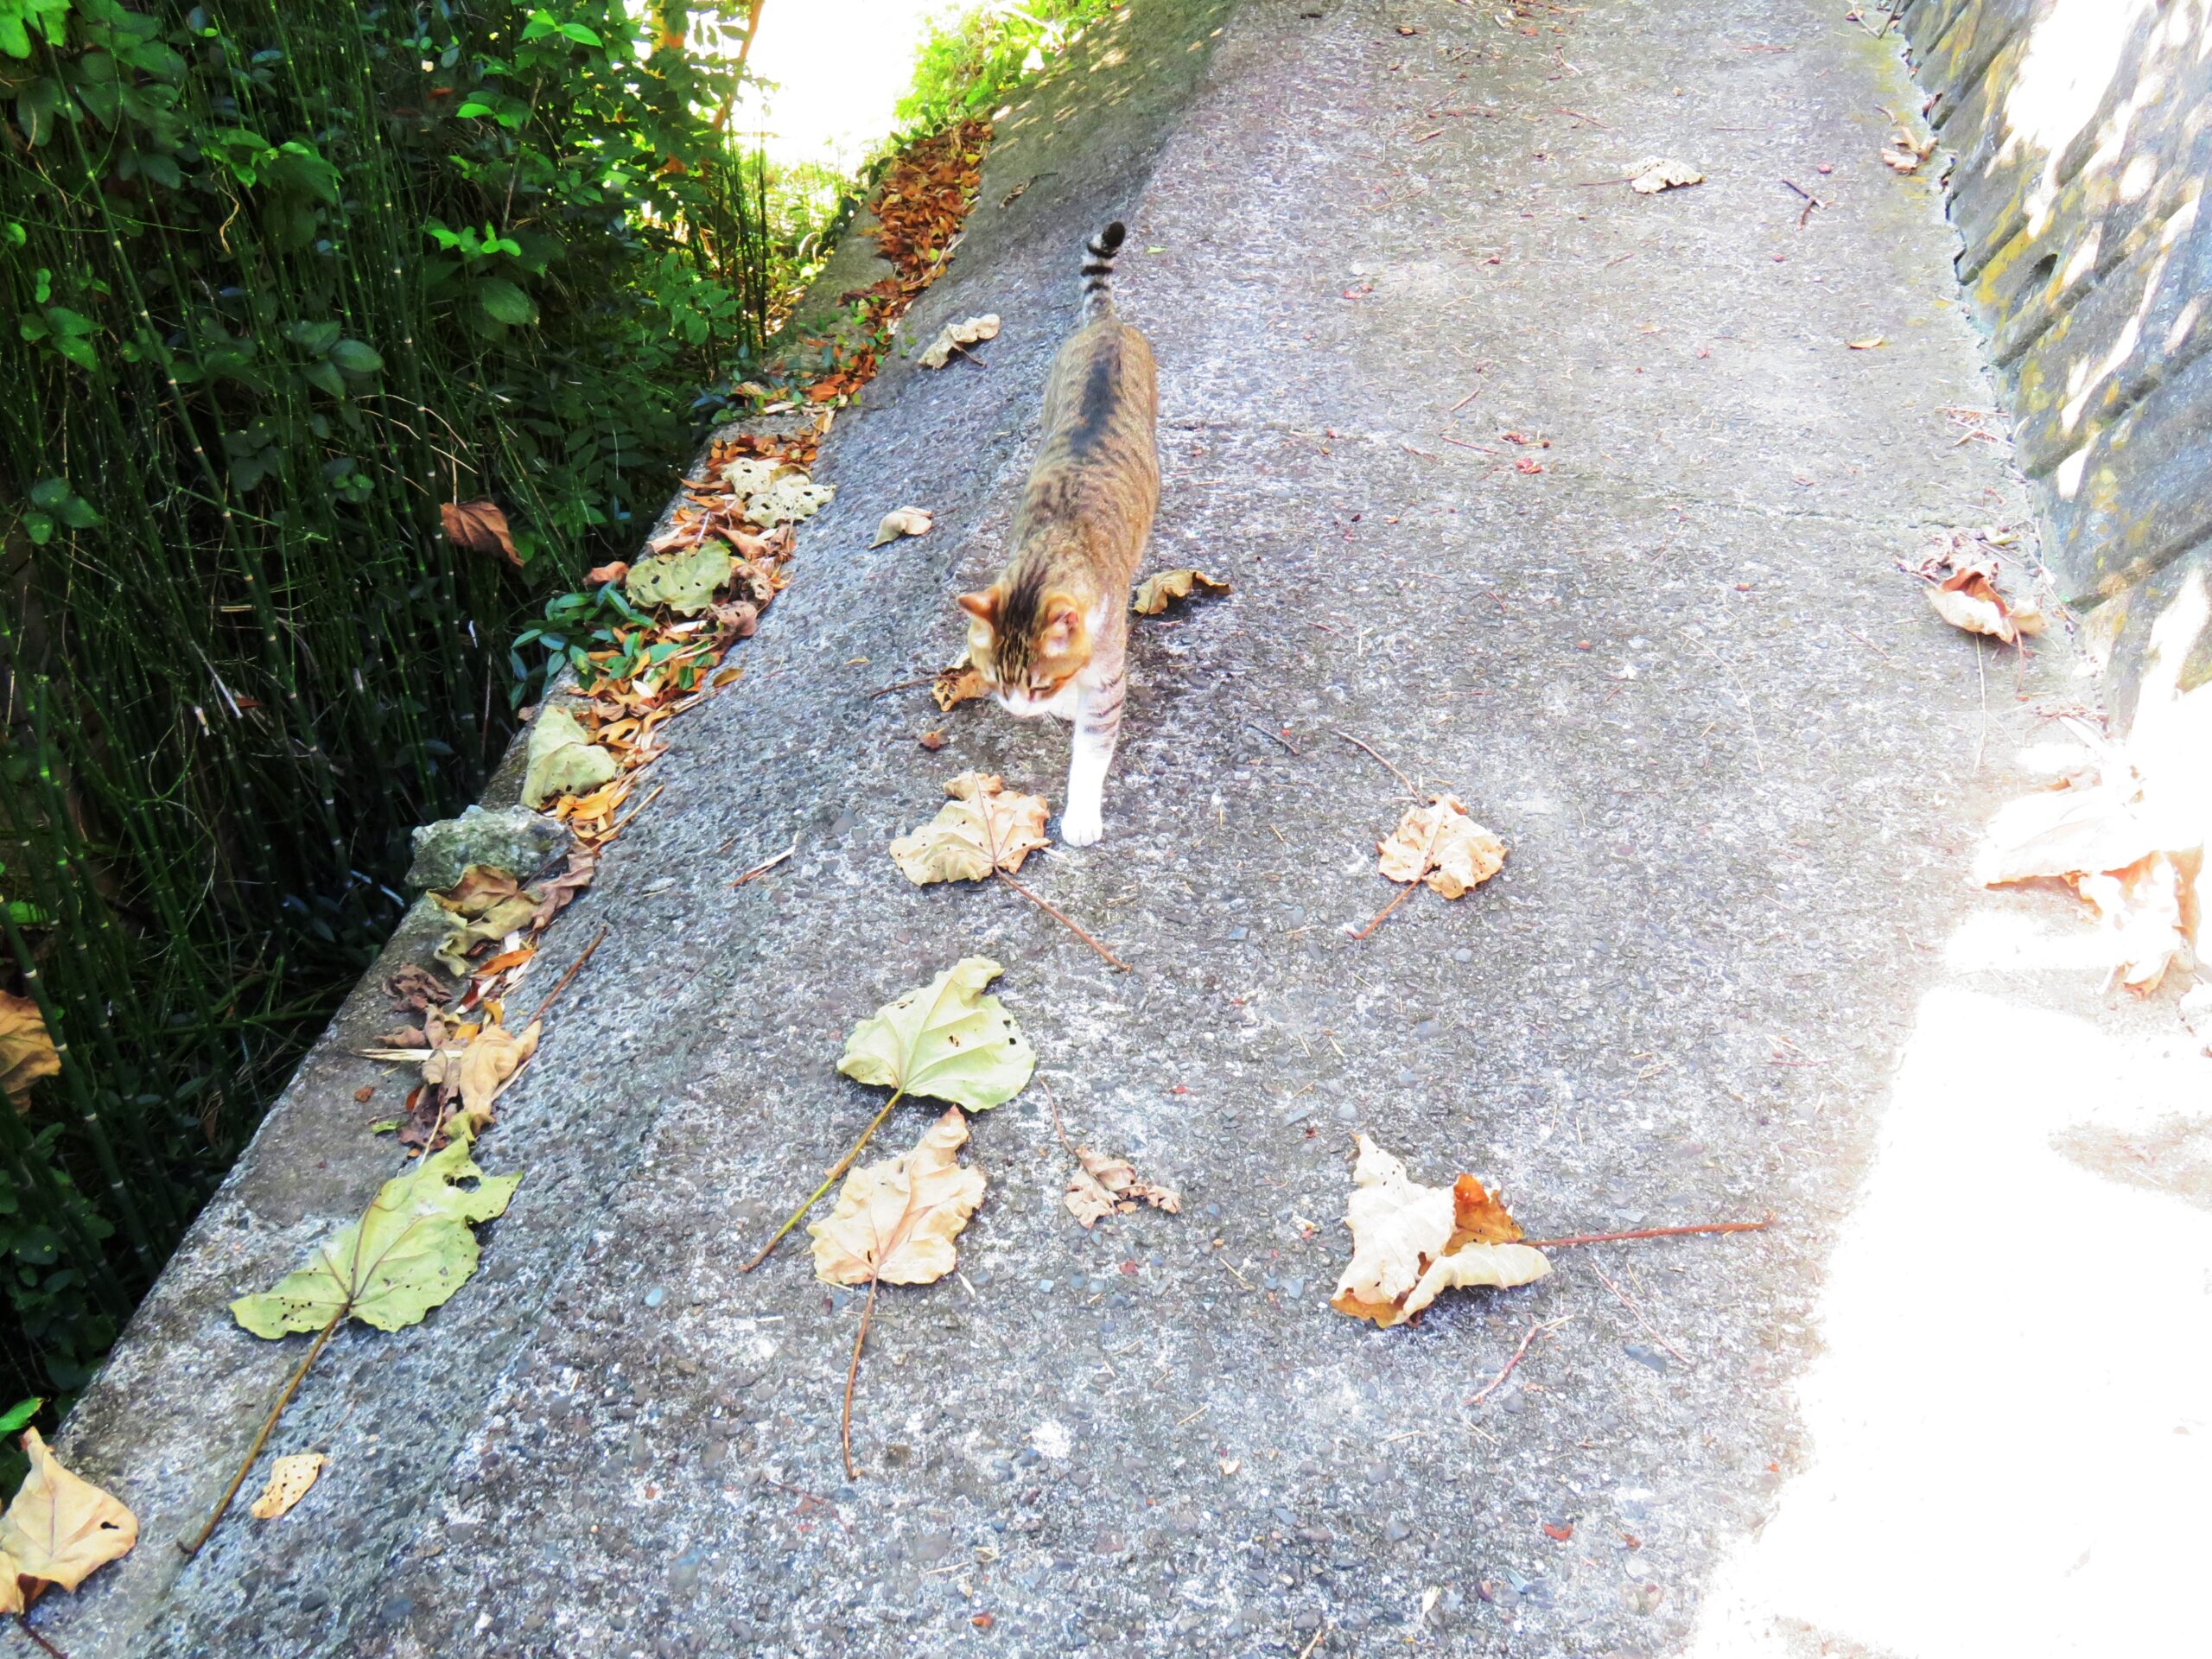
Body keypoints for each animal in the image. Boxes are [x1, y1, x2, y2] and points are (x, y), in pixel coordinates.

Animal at [955, 221, 1159, 844]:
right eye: (995, 680)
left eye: (1037, 686)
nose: (1020, 710)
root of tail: (1105, 325)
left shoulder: (1108, 681)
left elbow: (1091, 753)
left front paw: (1082, 816)